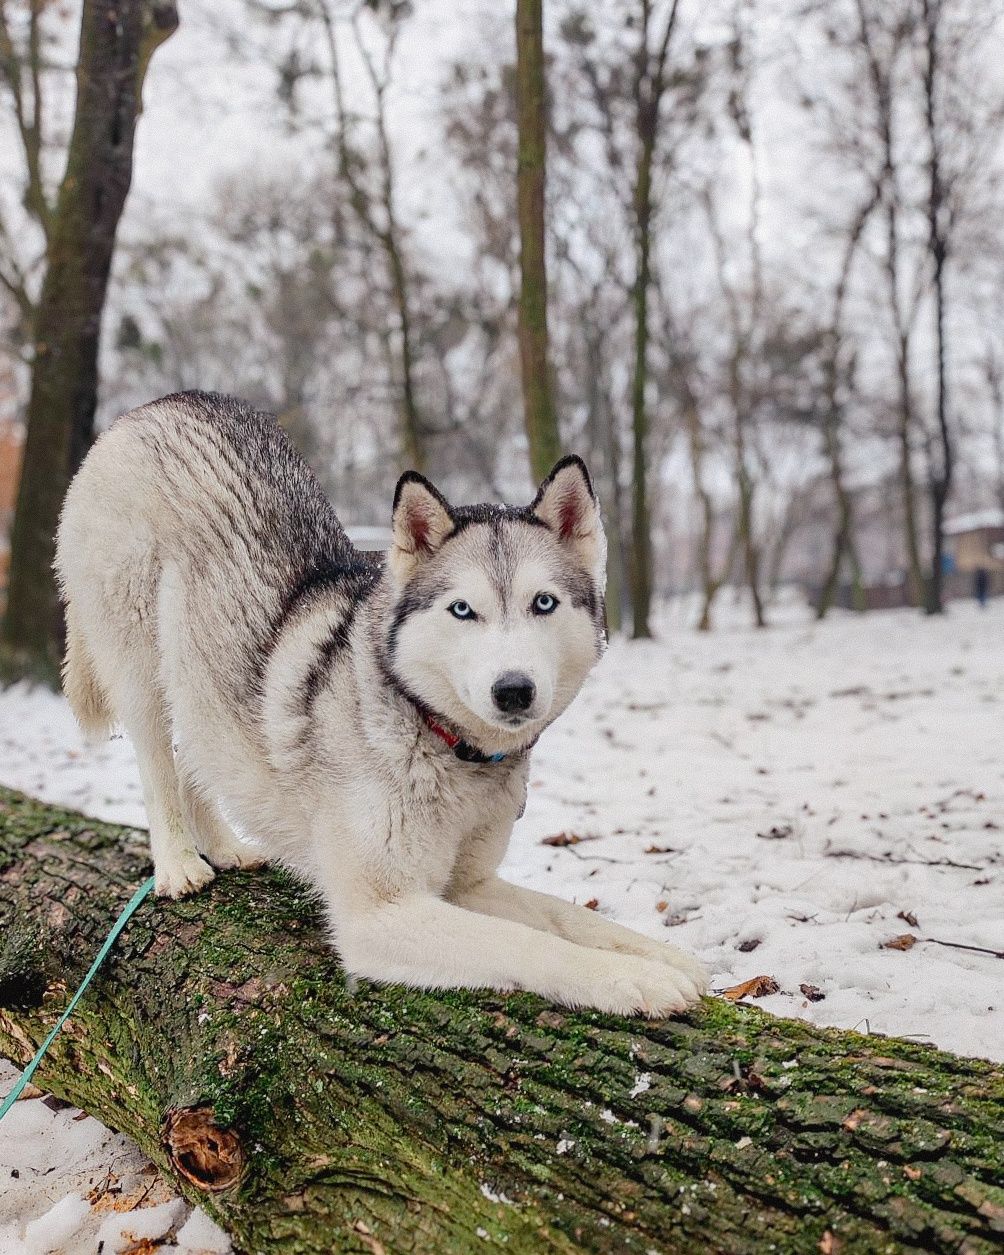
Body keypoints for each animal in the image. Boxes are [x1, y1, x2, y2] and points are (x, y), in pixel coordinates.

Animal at [56, 391, 707, 1019]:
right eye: (463, 610)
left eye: (543, 603)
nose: (514, 689)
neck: (445, 741)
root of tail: (154, 407)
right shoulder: (381, 914)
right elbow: (532, 944)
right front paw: (635, 979)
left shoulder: (470, 885)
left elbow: (572, 916)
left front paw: (669, 957)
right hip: (140, 666)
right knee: (157, 764)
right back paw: (178, 865)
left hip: (196, 685)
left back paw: (224, 847)